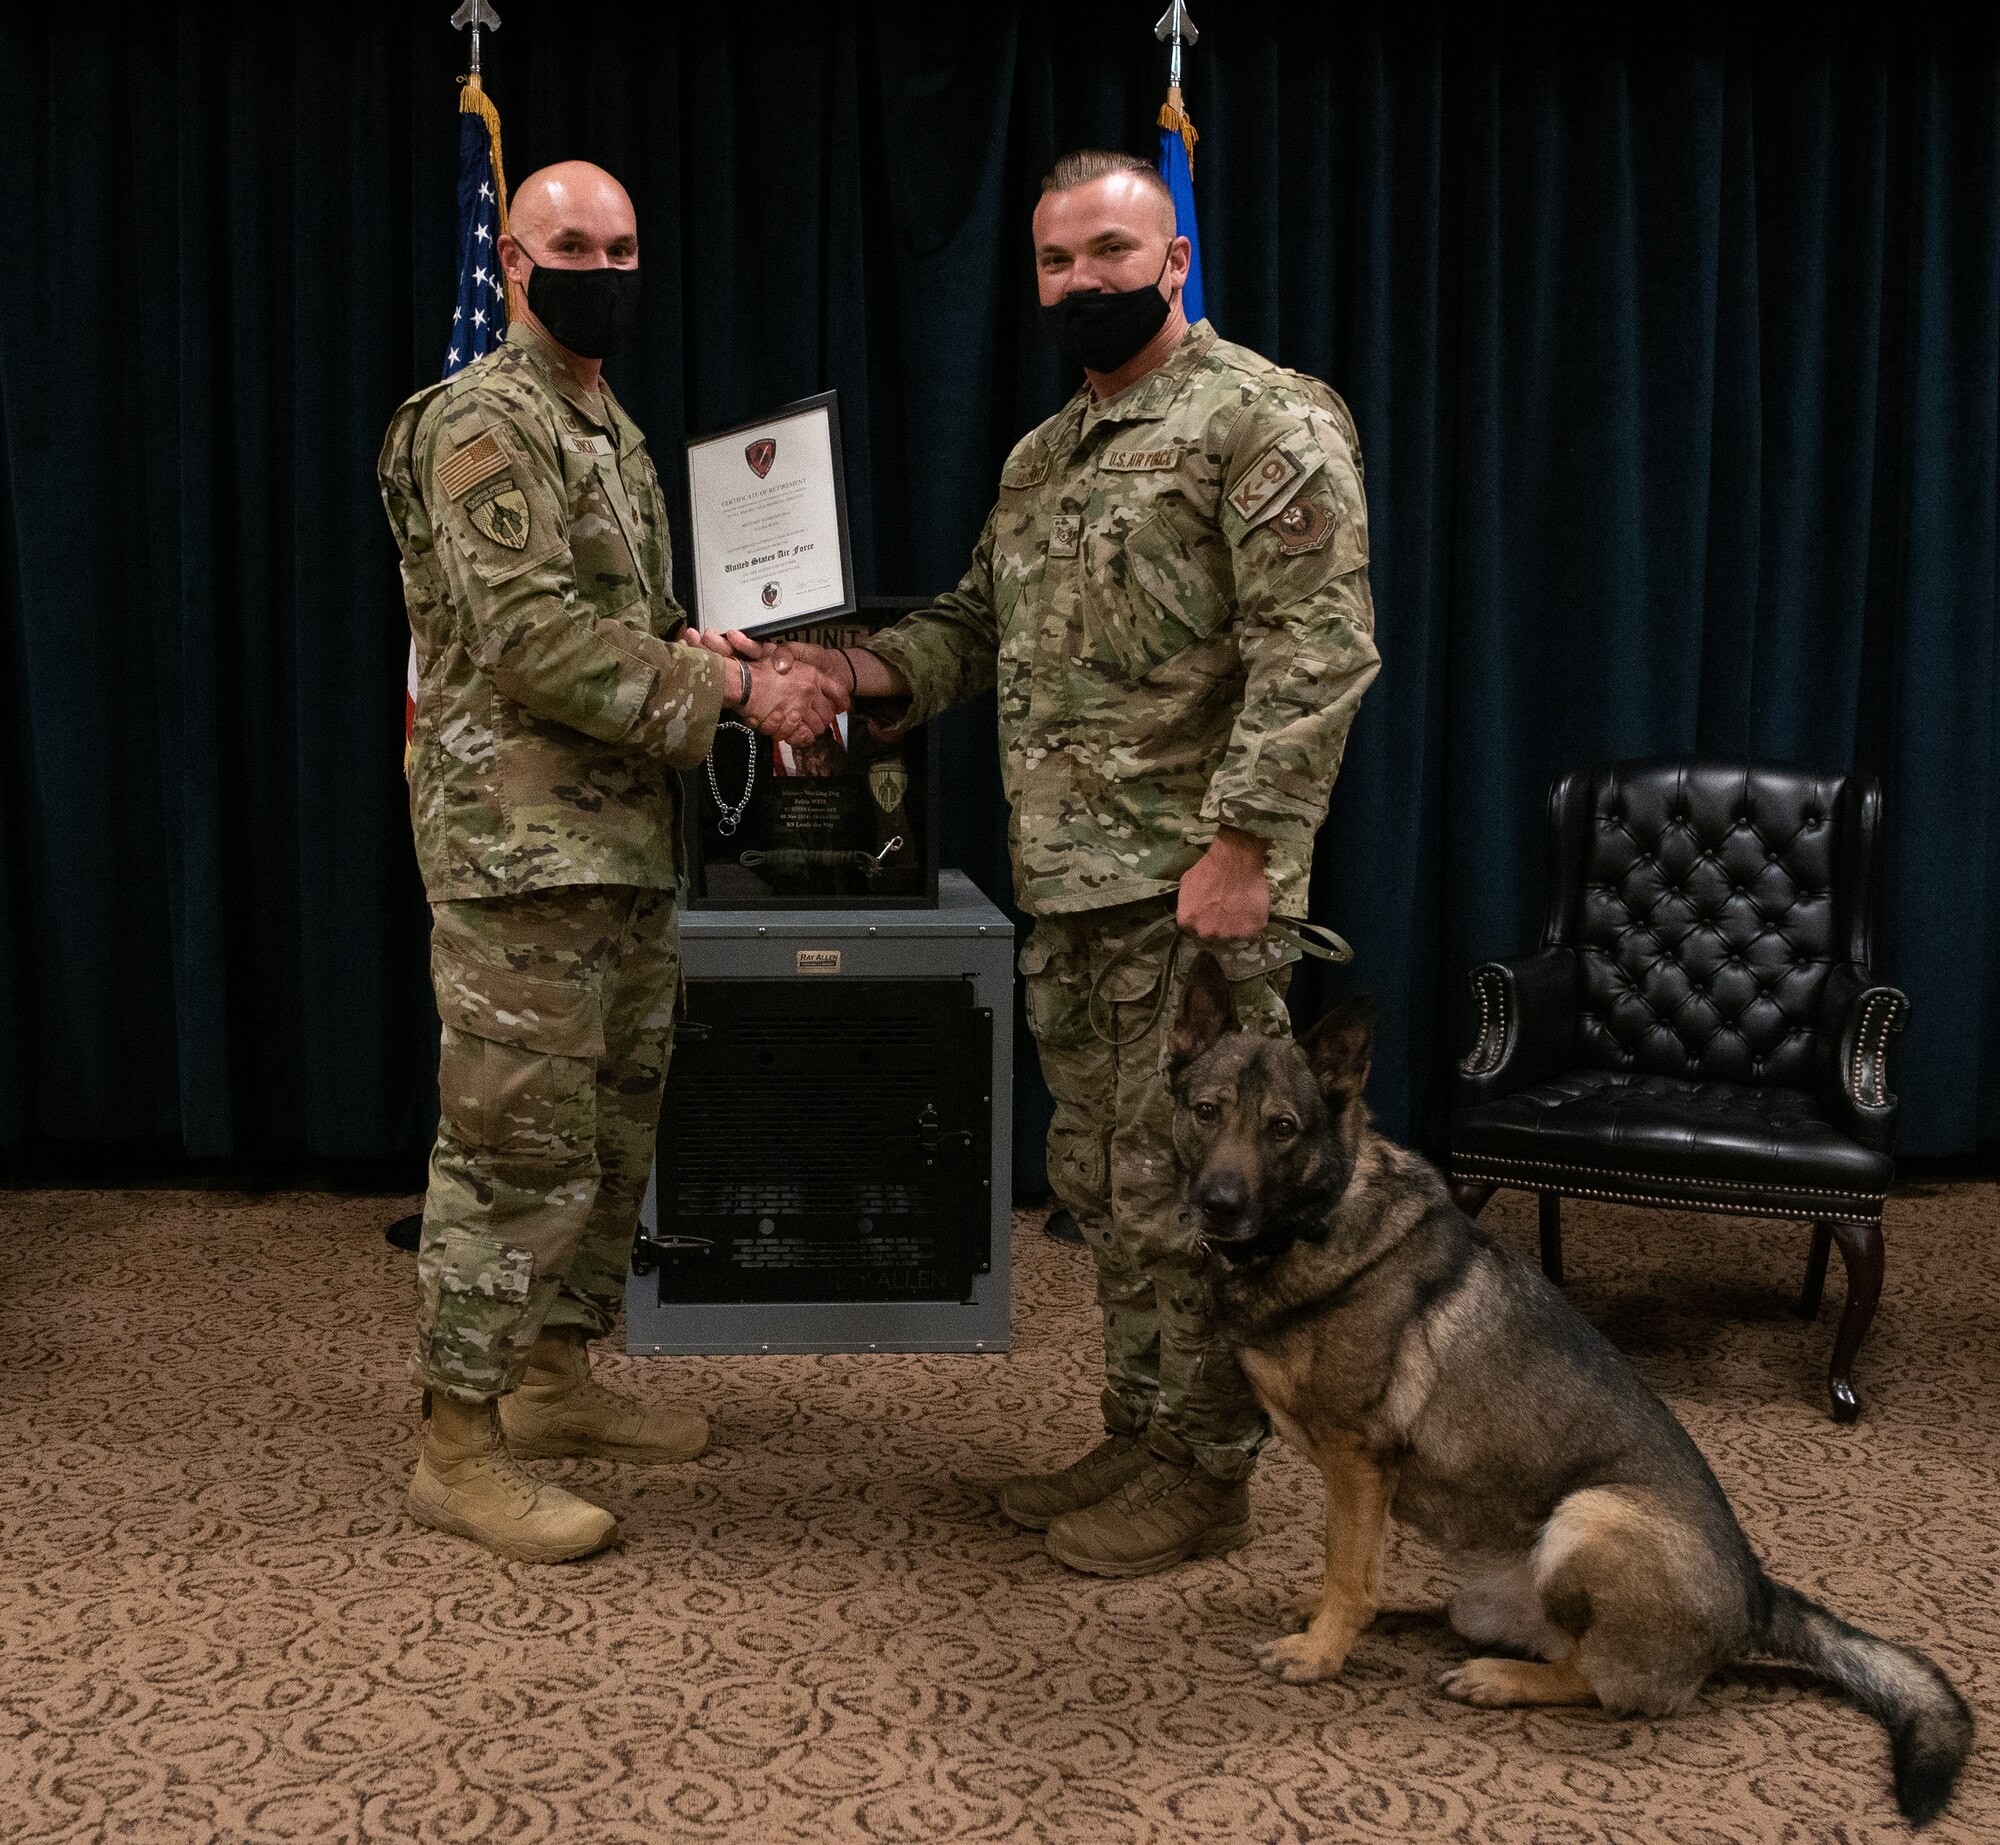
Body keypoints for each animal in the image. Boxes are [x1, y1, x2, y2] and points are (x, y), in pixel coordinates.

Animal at [1168, 956, 1968, 1816]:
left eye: (1282, 1128)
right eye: (1207, 1113)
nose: (1217, 1205)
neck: (1316, 1220)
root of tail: (1758, 1594)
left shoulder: (1358, 1459)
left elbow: (1349, 1568)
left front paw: (1321, 1651)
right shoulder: (1357, 1477)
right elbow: (1348, 1562)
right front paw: (1324, 1617)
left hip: (1590, 1515)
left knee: (1598, 1680)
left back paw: (1500, 1678)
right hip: (1500, 1579)